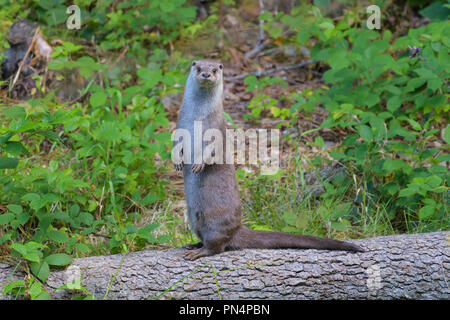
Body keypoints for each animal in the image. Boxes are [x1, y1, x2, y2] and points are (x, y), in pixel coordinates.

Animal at [172, 59, 362, 260]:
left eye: (215, 69)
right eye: (199, 68)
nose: (207, 74)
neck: (197, 118)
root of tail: (237, 229)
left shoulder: (217, 129)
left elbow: (213, 149)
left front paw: (199, 163)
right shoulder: (180, 123)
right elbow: (176, 142)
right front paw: (177, 161)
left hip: (214, 221)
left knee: (217, 246)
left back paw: (197, 252)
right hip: (194, 220)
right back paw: (192, 244)